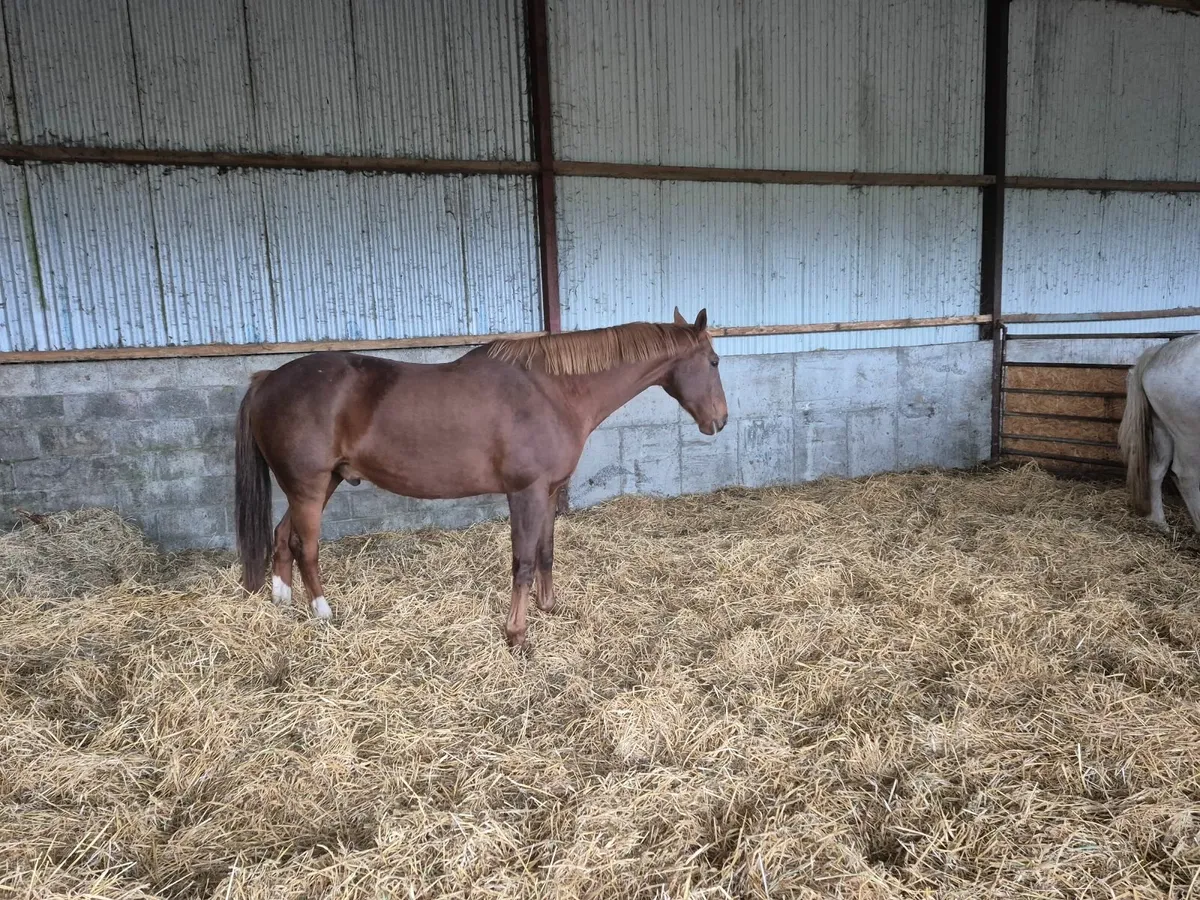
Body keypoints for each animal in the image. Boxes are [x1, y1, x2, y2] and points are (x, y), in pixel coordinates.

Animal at [234, 308, 728, 649]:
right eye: (714, 361)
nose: (720, 421)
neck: (553, 391)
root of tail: (267, 378)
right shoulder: (525, 493)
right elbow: (523, 562)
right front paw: (517, 634)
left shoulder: (548, 492)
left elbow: (545, 553)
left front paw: (549, 608)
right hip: (309, 486)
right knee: (305, 547)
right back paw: (323, 612)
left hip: (318, 485)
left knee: (282, 537)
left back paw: (282, 603)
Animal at [1117, 331, 1200, 536]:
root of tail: (1157, 352)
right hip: (1188, 434)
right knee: (1187, 475)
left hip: (1162, 428)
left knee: (1156, 469)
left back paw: (1159, 522)